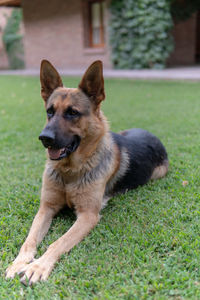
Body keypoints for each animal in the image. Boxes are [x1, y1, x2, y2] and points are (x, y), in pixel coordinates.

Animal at [5, 58, 169, 284]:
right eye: (49, 111)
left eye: (72, 112)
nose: (44, 138)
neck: (70, 172)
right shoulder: (46, 208)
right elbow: (29, 241)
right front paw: (18, 263)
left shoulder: (88, 216)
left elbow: (58, 242)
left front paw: (38, 266)